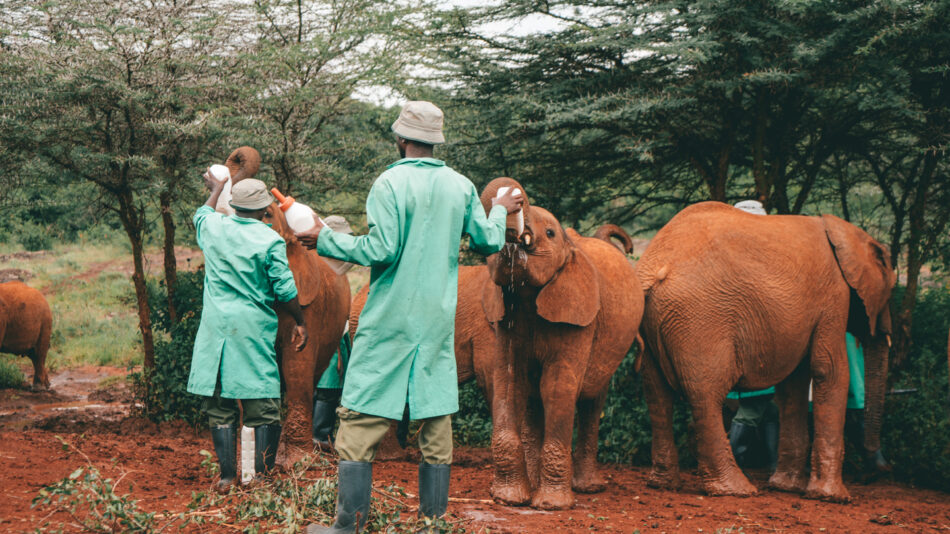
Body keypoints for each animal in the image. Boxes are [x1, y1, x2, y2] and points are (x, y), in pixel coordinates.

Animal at [480, 179, 644, 510]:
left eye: (550, 233)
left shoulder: (579, 319)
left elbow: (557, 387)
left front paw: (551, 506)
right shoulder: (506, 313)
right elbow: (509, 383)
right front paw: (508, 499)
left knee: (592, 399)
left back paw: (587, 488)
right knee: (533, 399)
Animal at [636, 200, 896, 502]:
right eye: (891, 289)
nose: (879, 470)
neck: (843, 231)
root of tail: (654, 267)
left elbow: (795, 382)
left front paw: (786, 487)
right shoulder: (833, 295)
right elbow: (829, 372)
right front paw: (832, 497)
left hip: (657, 319)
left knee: (657, 394)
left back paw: (663, 484)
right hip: (699, 319)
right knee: (705, 394)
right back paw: (737, 490)